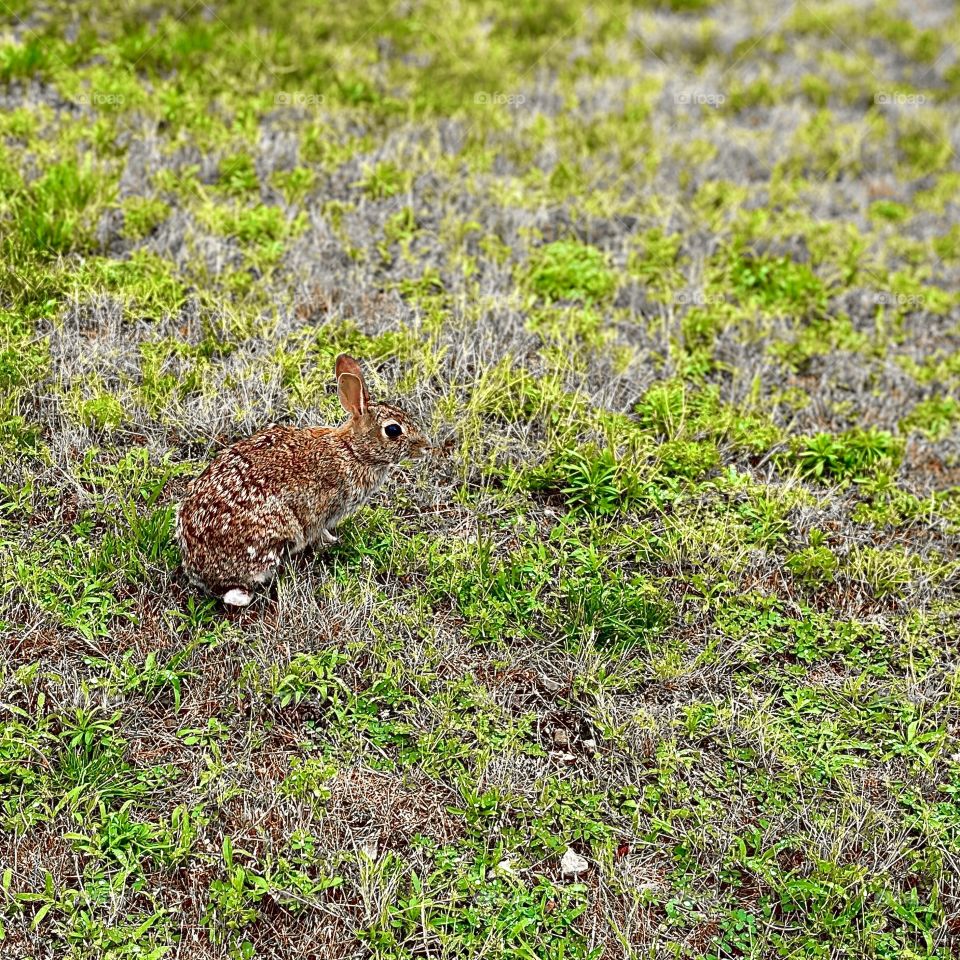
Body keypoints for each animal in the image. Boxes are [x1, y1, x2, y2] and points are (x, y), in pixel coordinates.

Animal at [174, 354, 431, 606]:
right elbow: (318, 534)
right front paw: (332, 542)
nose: (426, 447)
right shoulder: (321, 512)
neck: (353, 451)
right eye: (393, 430)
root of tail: (201, 572)